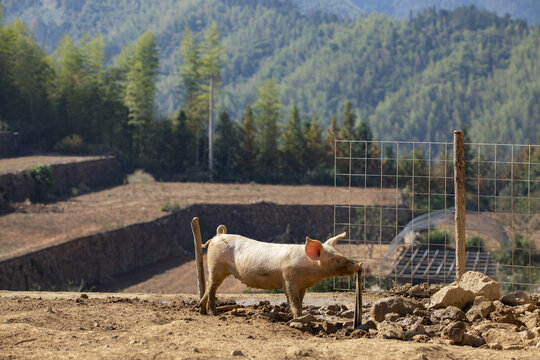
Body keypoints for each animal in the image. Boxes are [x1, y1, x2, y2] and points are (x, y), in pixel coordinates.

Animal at [198, 225, 362, 318]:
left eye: (340, 253)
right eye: (335, 259)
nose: (359, 264)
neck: (309, 272)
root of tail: (218, 235)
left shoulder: (302, 285)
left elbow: (300, 300)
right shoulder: (289, 278)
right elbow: (293, 300)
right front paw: (298, 318)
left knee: (208, 284)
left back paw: (201, 309)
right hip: (216, 266)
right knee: (212, 288)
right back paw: (213, 313)